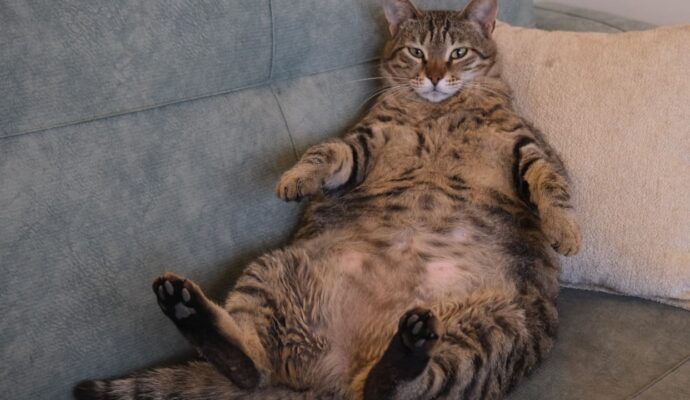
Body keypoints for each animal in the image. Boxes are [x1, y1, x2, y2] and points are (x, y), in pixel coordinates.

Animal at [74, 0, 581, 399]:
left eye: (458, 52)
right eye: (416, 52)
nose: (436, 77)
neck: (437, 112)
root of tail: (337, 368)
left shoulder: (525, 145)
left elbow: (552, 184)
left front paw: (565, 230)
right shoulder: (364, 140)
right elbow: (326, 151)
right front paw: (296, 178)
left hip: (498, 331)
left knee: (387, 389)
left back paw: (408, 345)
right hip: (273, 270)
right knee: (255, 369)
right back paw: (190, 309)